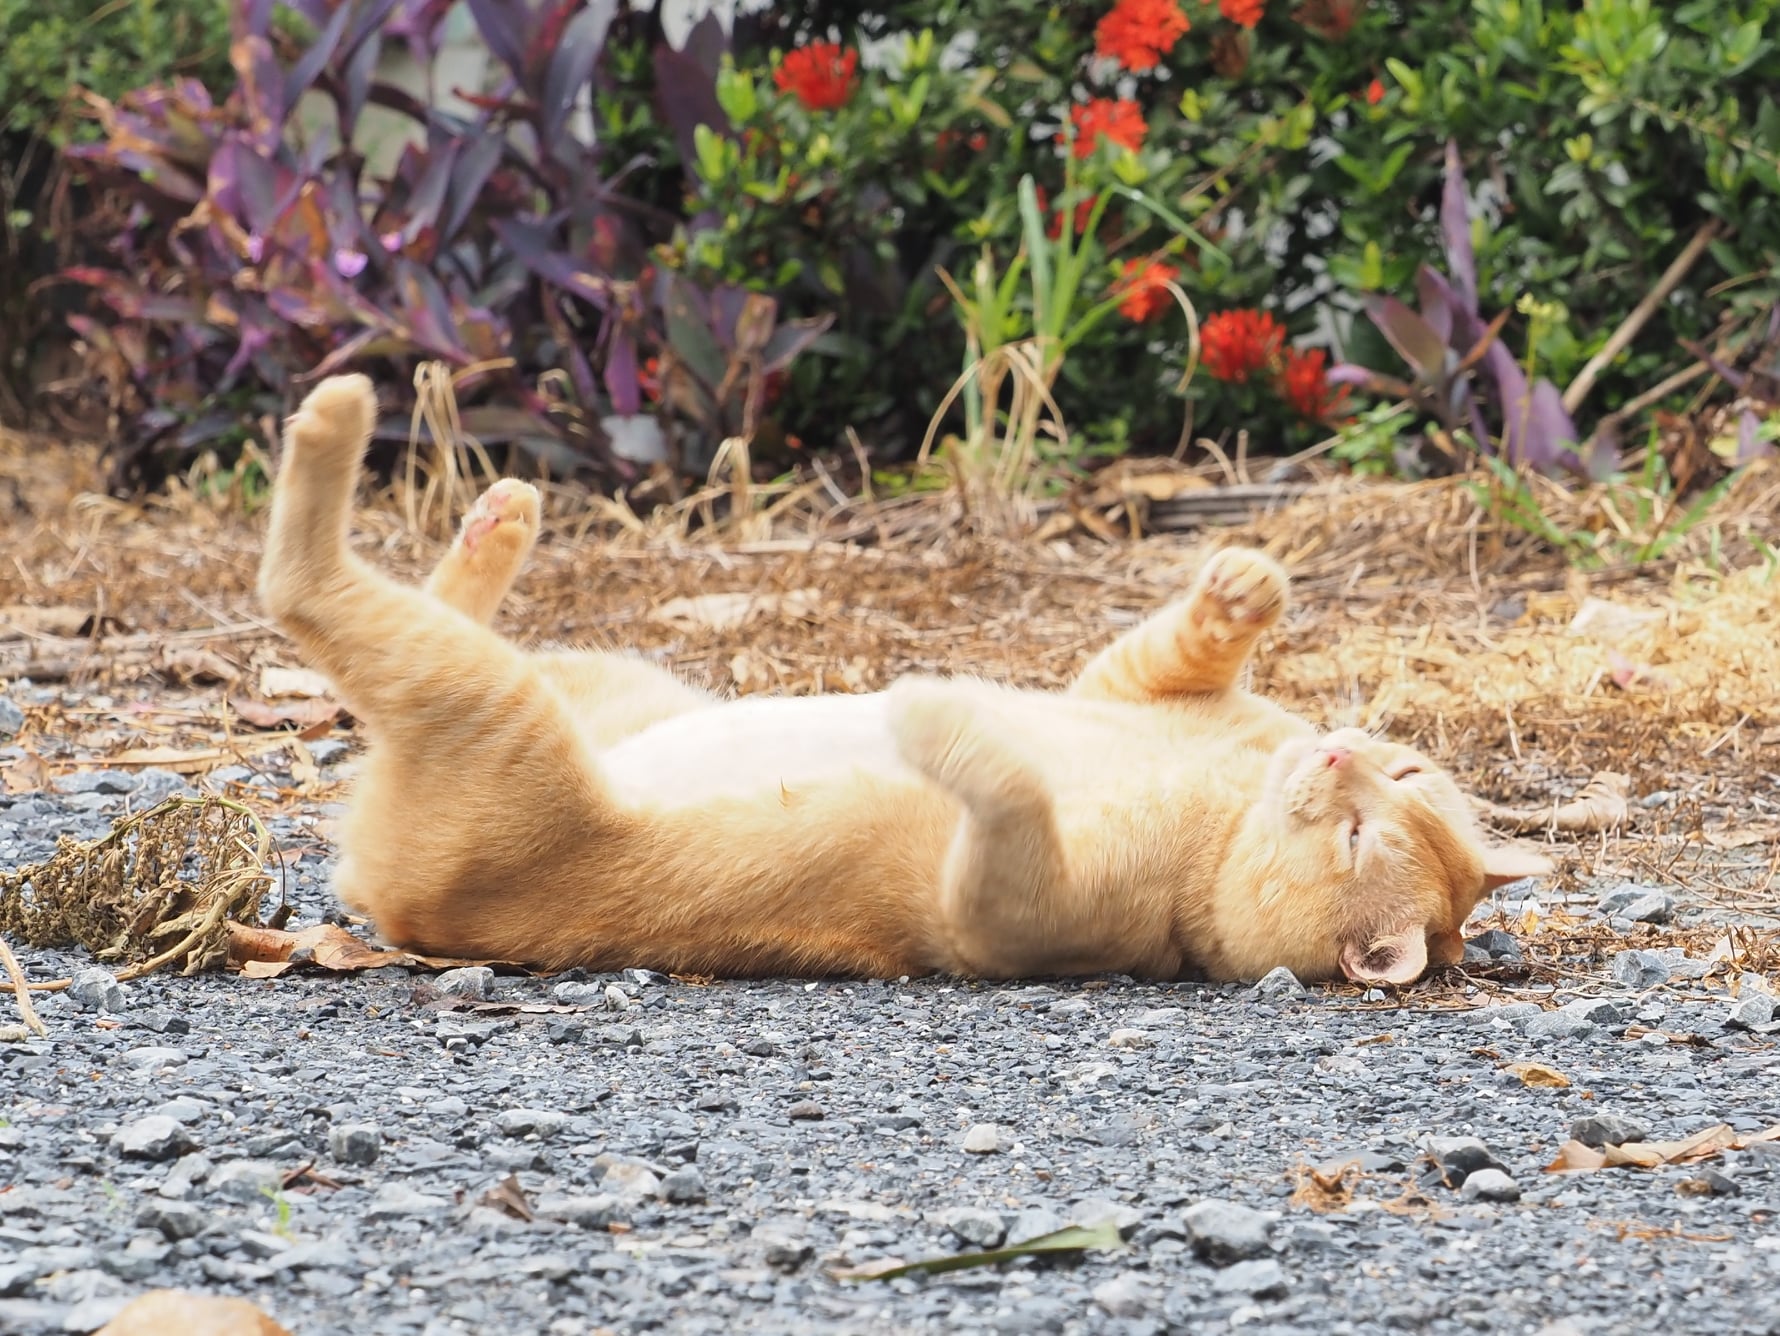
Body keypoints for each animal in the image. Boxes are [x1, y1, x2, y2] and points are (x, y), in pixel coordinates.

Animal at [257, 374, 1552, 986]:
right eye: (1393, 772)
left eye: (1358, 835)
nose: (1331, 755)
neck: (1229, 803)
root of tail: (376, 893)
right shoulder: (1120, 684)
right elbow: (1174, 643)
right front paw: (1242, 585)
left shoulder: (1002, 919)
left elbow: (1005, 792)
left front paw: (937, 718)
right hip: (599, 676)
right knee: (413, 601)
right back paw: (495, 516)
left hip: (492, 708)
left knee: (306, 587)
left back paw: (335, 419)